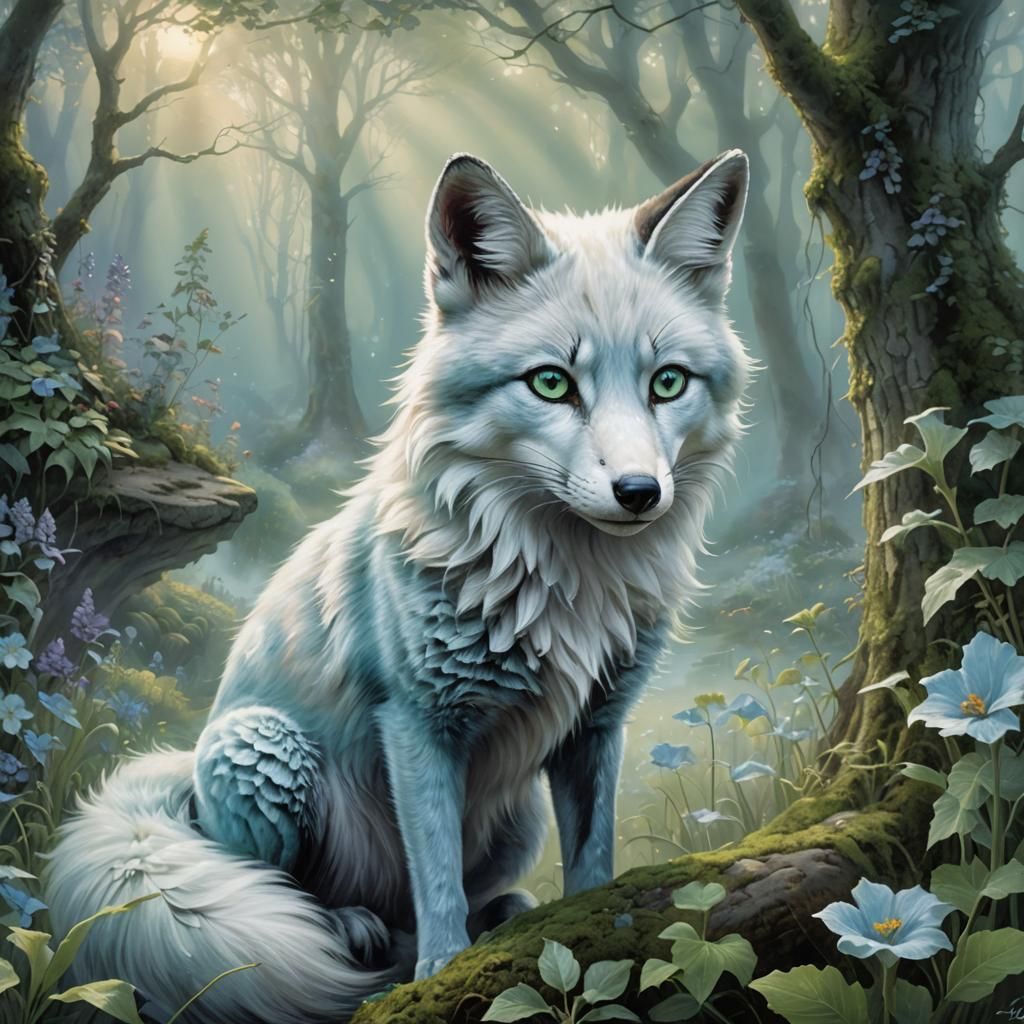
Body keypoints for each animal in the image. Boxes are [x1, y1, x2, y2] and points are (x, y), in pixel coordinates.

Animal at [46, 149, 750, 1023]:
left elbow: (592, 856)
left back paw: (506, 913)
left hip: (518, 819)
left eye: (668, 383)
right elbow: (436, 877)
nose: (638, 492)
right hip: (264, 749)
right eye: (552, 384)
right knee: (292, 889)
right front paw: (441, 974)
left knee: (476, 888)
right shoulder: (418, 723)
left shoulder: (596, 725)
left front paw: (598, 932)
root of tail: (181, 773)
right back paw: (356, 932)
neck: (568, 589)